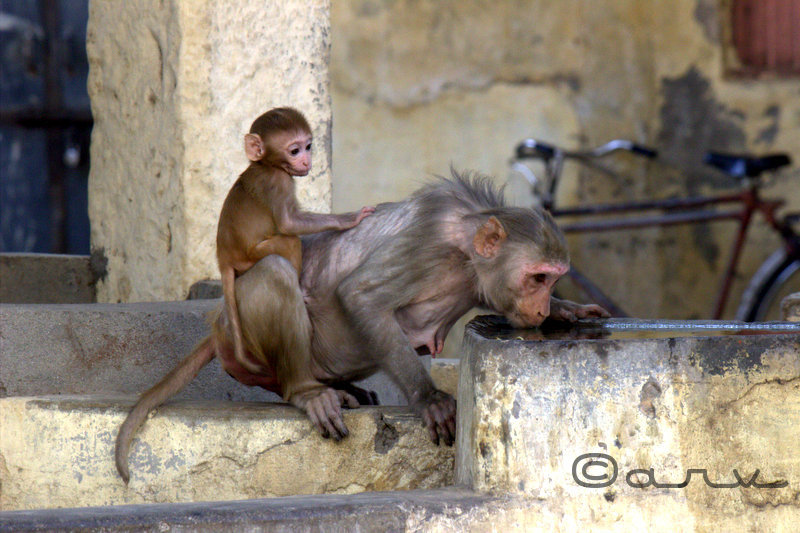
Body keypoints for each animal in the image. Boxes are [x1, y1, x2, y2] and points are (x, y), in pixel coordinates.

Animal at [115, 170, 608, 482]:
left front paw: (568, 311)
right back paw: (307, 392)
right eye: (538, 277)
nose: (541, 310)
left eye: (553, 280)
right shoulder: (428, 246)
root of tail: (220, 326)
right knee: (275, 272)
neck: (467, 249)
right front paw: (428, 398)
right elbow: (362, 296)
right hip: (247, 339)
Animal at [216, 107, 374, 375]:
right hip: (251, 256)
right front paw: (347, 219)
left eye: (308, 146)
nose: (306, 161)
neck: (266, 164)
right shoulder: (278, 183)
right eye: (294, 150)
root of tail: (223, 257)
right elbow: (289, 224)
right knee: (289, 241)